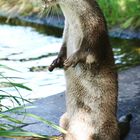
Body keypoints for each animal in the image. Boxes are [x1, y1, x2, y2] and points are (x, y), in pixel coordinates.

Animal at [47, 0, 131, 140]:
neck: (75, 25)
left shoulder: (95, 29)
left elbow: (88, 50)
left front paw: (73, 59)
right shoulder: (65, 33)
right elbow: (63, 49)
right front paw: (56, 62)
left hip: (106, 127)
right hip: (64, 118)